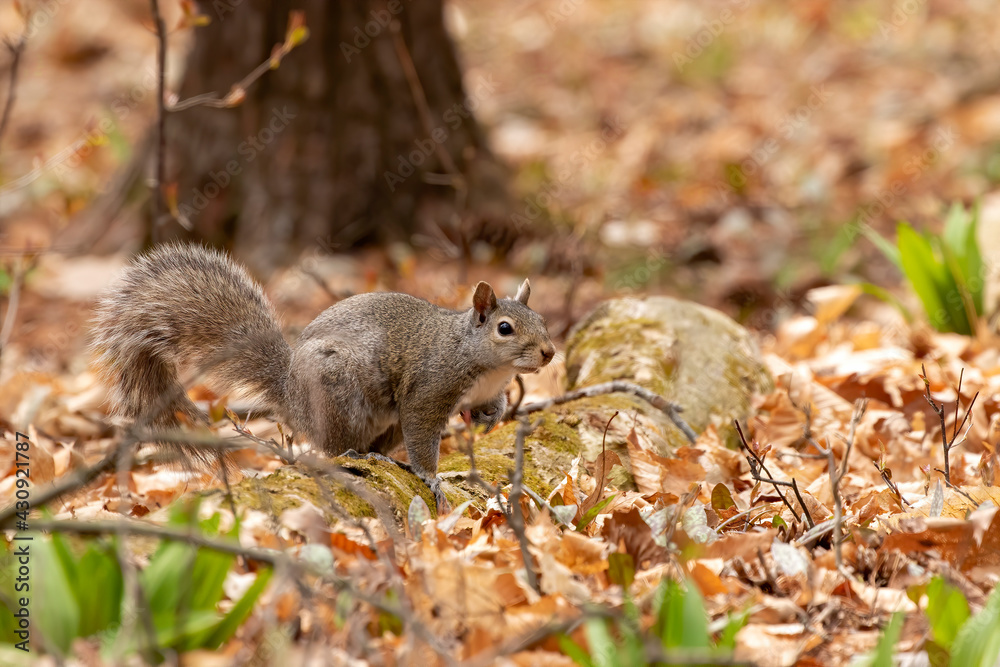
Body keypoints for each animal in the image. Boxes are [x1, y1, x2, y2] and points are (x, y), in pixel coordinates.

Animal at [92, 244, 556, 490]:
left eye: (543, 320)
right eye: (505, 328)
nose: (550, 353)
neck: (480, 362)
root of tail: (292, 397)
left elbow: (489, 407)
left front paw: (489, 419)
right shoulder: (429, 390)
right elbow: (424, 436)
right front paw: (431, 478)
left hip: (381, 423)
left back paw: (382, 458)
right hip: (337, 391)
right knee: (331, 446)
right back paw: (355, 455)